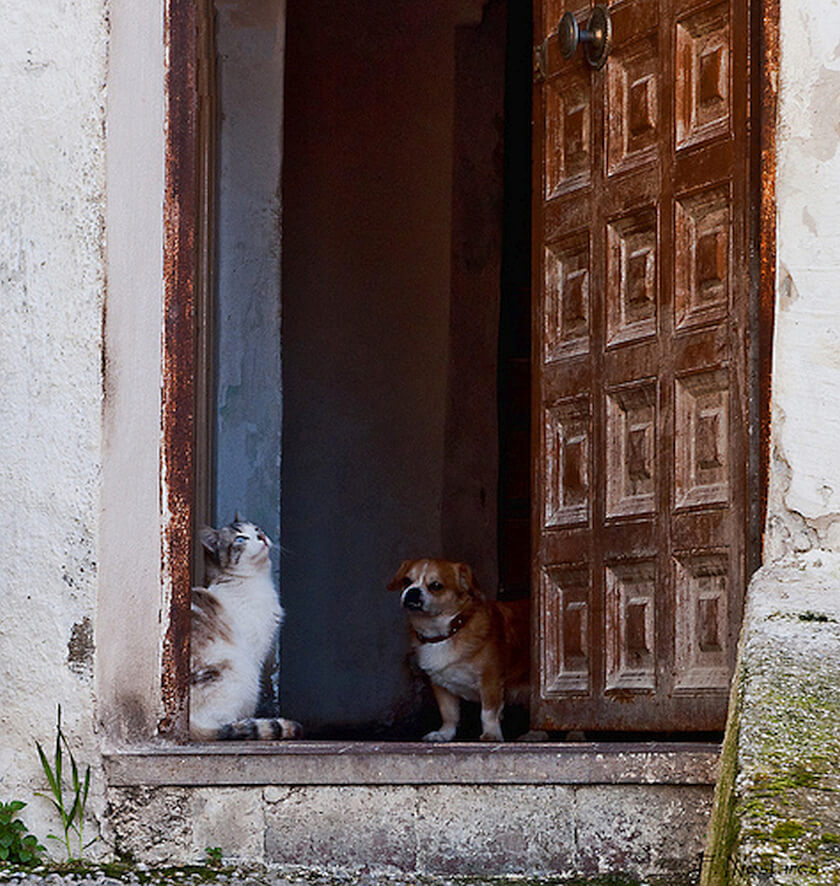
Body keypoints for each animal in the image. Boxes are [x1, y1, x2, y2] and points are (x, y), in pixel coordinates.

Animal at [386, 560, 524, 744]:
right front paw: (444, 734)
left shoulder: (491, 681)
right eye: (406, 581)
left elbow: (488, 713)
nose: (412, 592)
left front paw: (491, 735)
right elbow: (448, 713)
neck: (446, 633)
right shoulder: (440, 685)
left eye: (436, 586)